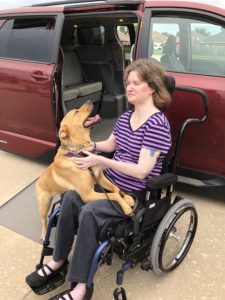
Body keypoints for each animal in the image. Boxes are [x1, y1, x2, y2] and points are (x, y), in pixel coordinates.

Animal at [36, 101, 134, 239]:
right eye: (76, 112)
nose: (90, 101)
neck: (80, 152)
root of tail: (38, 180)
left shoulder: (100, 178)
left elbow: (116, 188)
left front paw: (127, 198)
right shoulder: (88, 194)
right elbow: (113, 194)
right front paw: (125, 207)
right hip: (44, 204)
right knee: (44, 220)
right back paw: (44, 234)